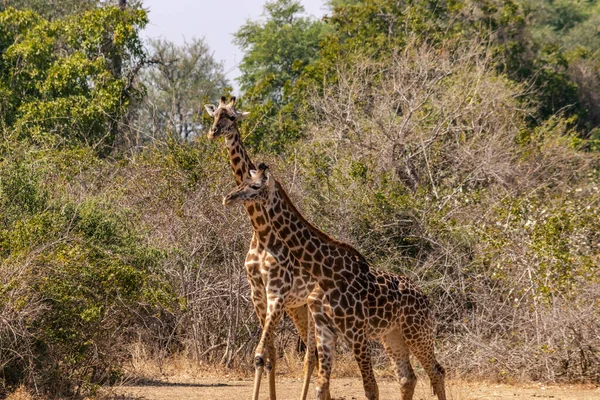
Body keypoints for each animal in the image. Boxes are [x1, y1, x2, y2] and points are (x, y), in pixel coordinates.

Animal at [205, 97, 328, 400]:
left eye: (233, 117)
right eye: (214, 115)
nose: (213, 132)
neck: (260, 232)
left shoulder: (277, 293)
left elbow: (262, 354)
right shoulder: (257, 291)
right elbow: (269, 354)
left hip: (313, 306)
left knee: (313, 356)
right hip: (298, 308)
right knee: (312, 355)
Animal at [221, 164, 446, 400]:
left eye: (255, 186)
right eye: (242, 181)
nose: (228, 198)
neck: (325, 272)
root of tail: (426, 298)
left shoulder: (356, 333)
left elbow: (371, 389)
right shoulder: (325, 331)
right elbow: (321, 387)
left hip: (417, 332)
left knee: (436, 371)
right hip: (392, 335)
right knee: (407, 378)